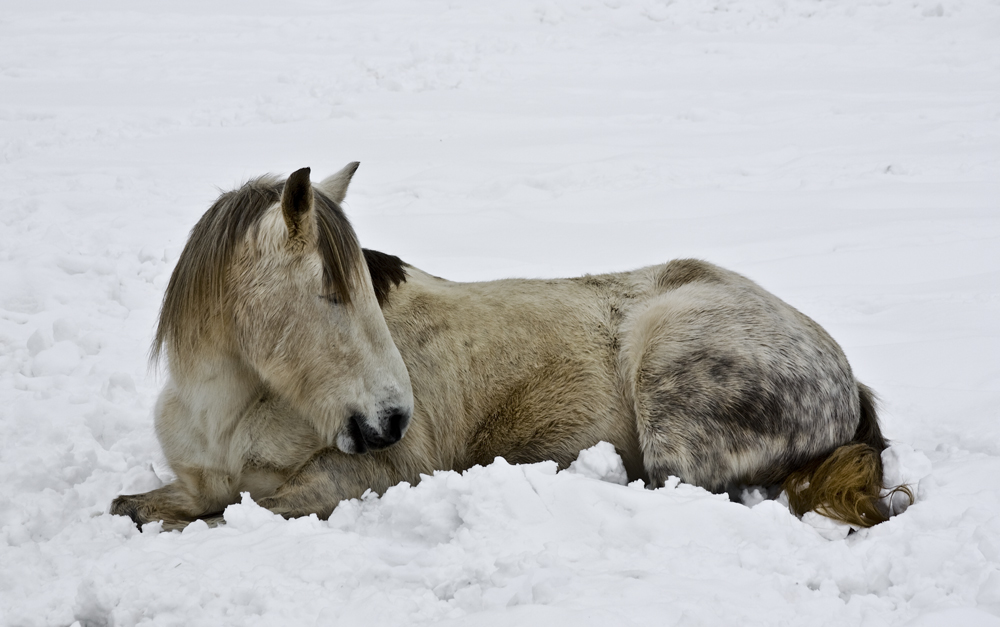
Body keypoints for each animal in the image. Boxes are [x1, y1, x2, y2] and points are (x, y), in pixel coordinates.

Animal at [113, 164, 912, 532]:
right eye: (331, 295)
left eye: (366, 289)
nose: (393, 421)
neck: (230, 410)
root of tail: (846, 380)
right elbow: (149, 502)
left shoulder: (362, 479)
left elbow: (239, 508)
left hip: (673, 395)